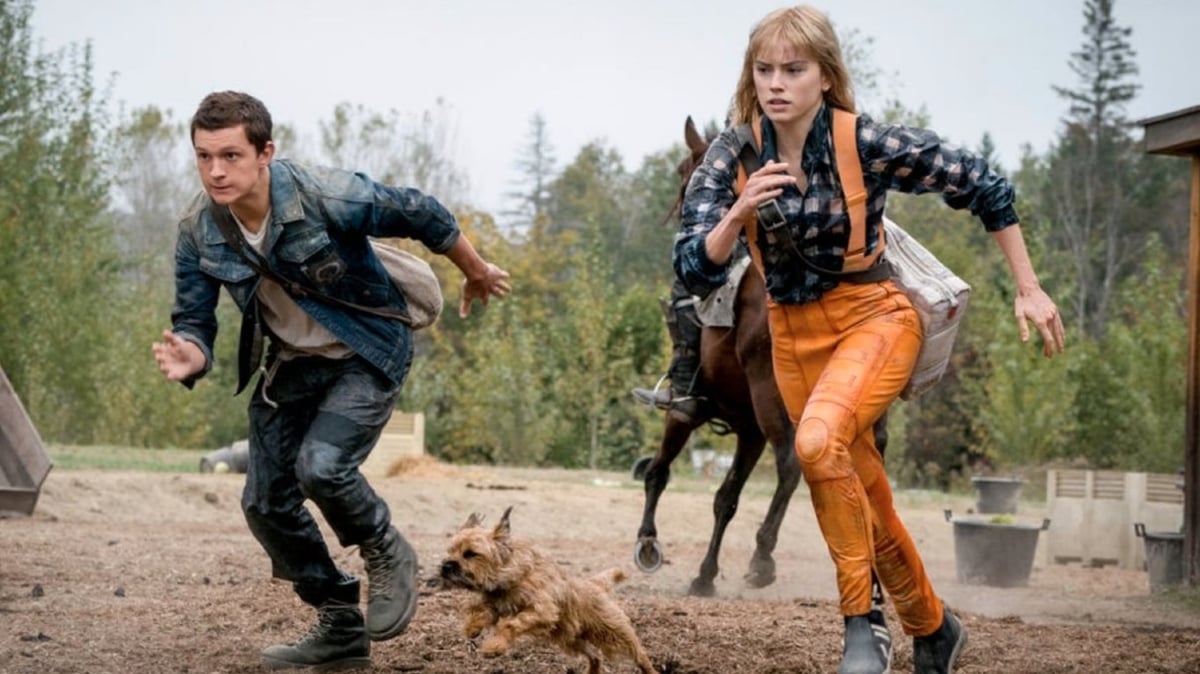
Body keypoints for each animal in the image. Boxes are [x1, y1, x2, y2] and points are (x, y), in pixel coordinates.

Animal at [441, 506, 657, 666]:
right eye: (450, 551)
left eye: (470, 554)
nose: (446, 566)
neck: (513, 576)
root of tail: (594, 585)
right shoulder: (495, 602)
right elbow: (482, 611)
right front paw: (473, 627)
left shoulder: (541, 611)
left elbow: (510, 624)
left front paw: (495, 646)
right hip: (572, 638)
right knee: (595, 657)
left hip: (613, 631)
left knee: (639, 654)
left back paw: (649, 668)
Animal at [633, 115, 888, 592]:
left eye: (686, 171)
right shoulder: (749, 431)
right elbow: (726, 498)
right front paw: (705, 574)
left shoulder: (686, 415)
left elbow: (660, 470)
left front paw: (648, 544)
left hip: (773, 397)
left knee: (791, 463)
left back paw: (763, 557)